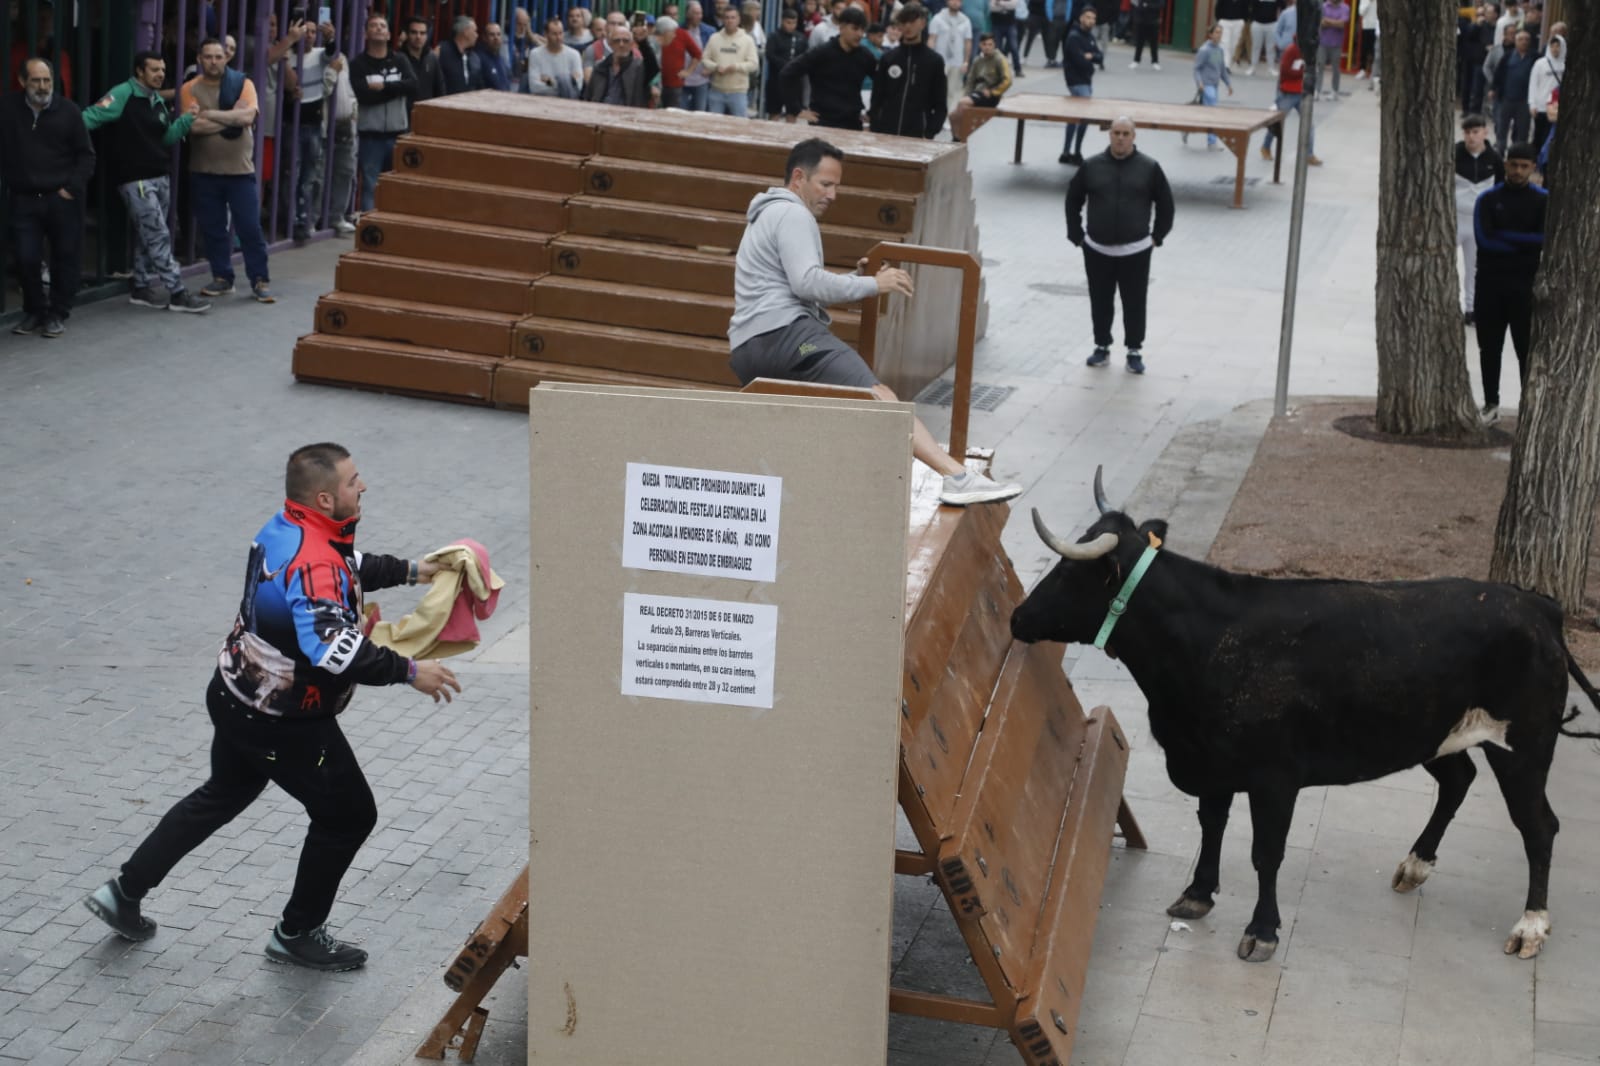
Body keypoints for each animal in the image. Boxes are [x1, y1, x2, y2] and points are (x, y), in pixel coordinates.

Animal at [1011, 473, 1600, 960]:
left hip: (1525, 744)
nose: (1018, 617)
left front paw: (1262, 930)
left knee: (1539, 826)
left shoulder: (1275, 776)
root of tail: (1538, 605)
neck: (1206, 642)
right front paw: (1197, 894)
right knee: (1459, 779)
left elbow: (1266, 852)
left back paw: (1531, 926)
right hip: (1430, 731)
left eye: (1071, 572)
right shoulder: (1212, 763)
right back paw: (1415, 866)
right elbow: (1211, 825)